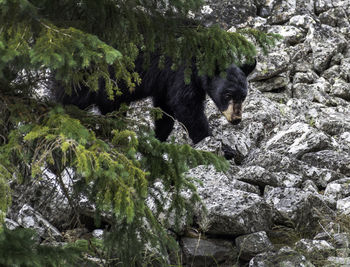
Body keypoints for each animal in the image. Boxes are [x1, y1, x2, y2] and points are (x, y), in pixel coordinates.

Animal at [55, 55, 258, 146]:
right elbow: (186, 105)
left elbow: (165, 110)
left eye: (243, 96)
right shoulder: (181, 72)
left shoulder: (165, 83)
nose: (236, 119)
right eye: (227, 95)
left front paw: (158, 138)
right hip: (91, 78)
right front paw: (210, 140)